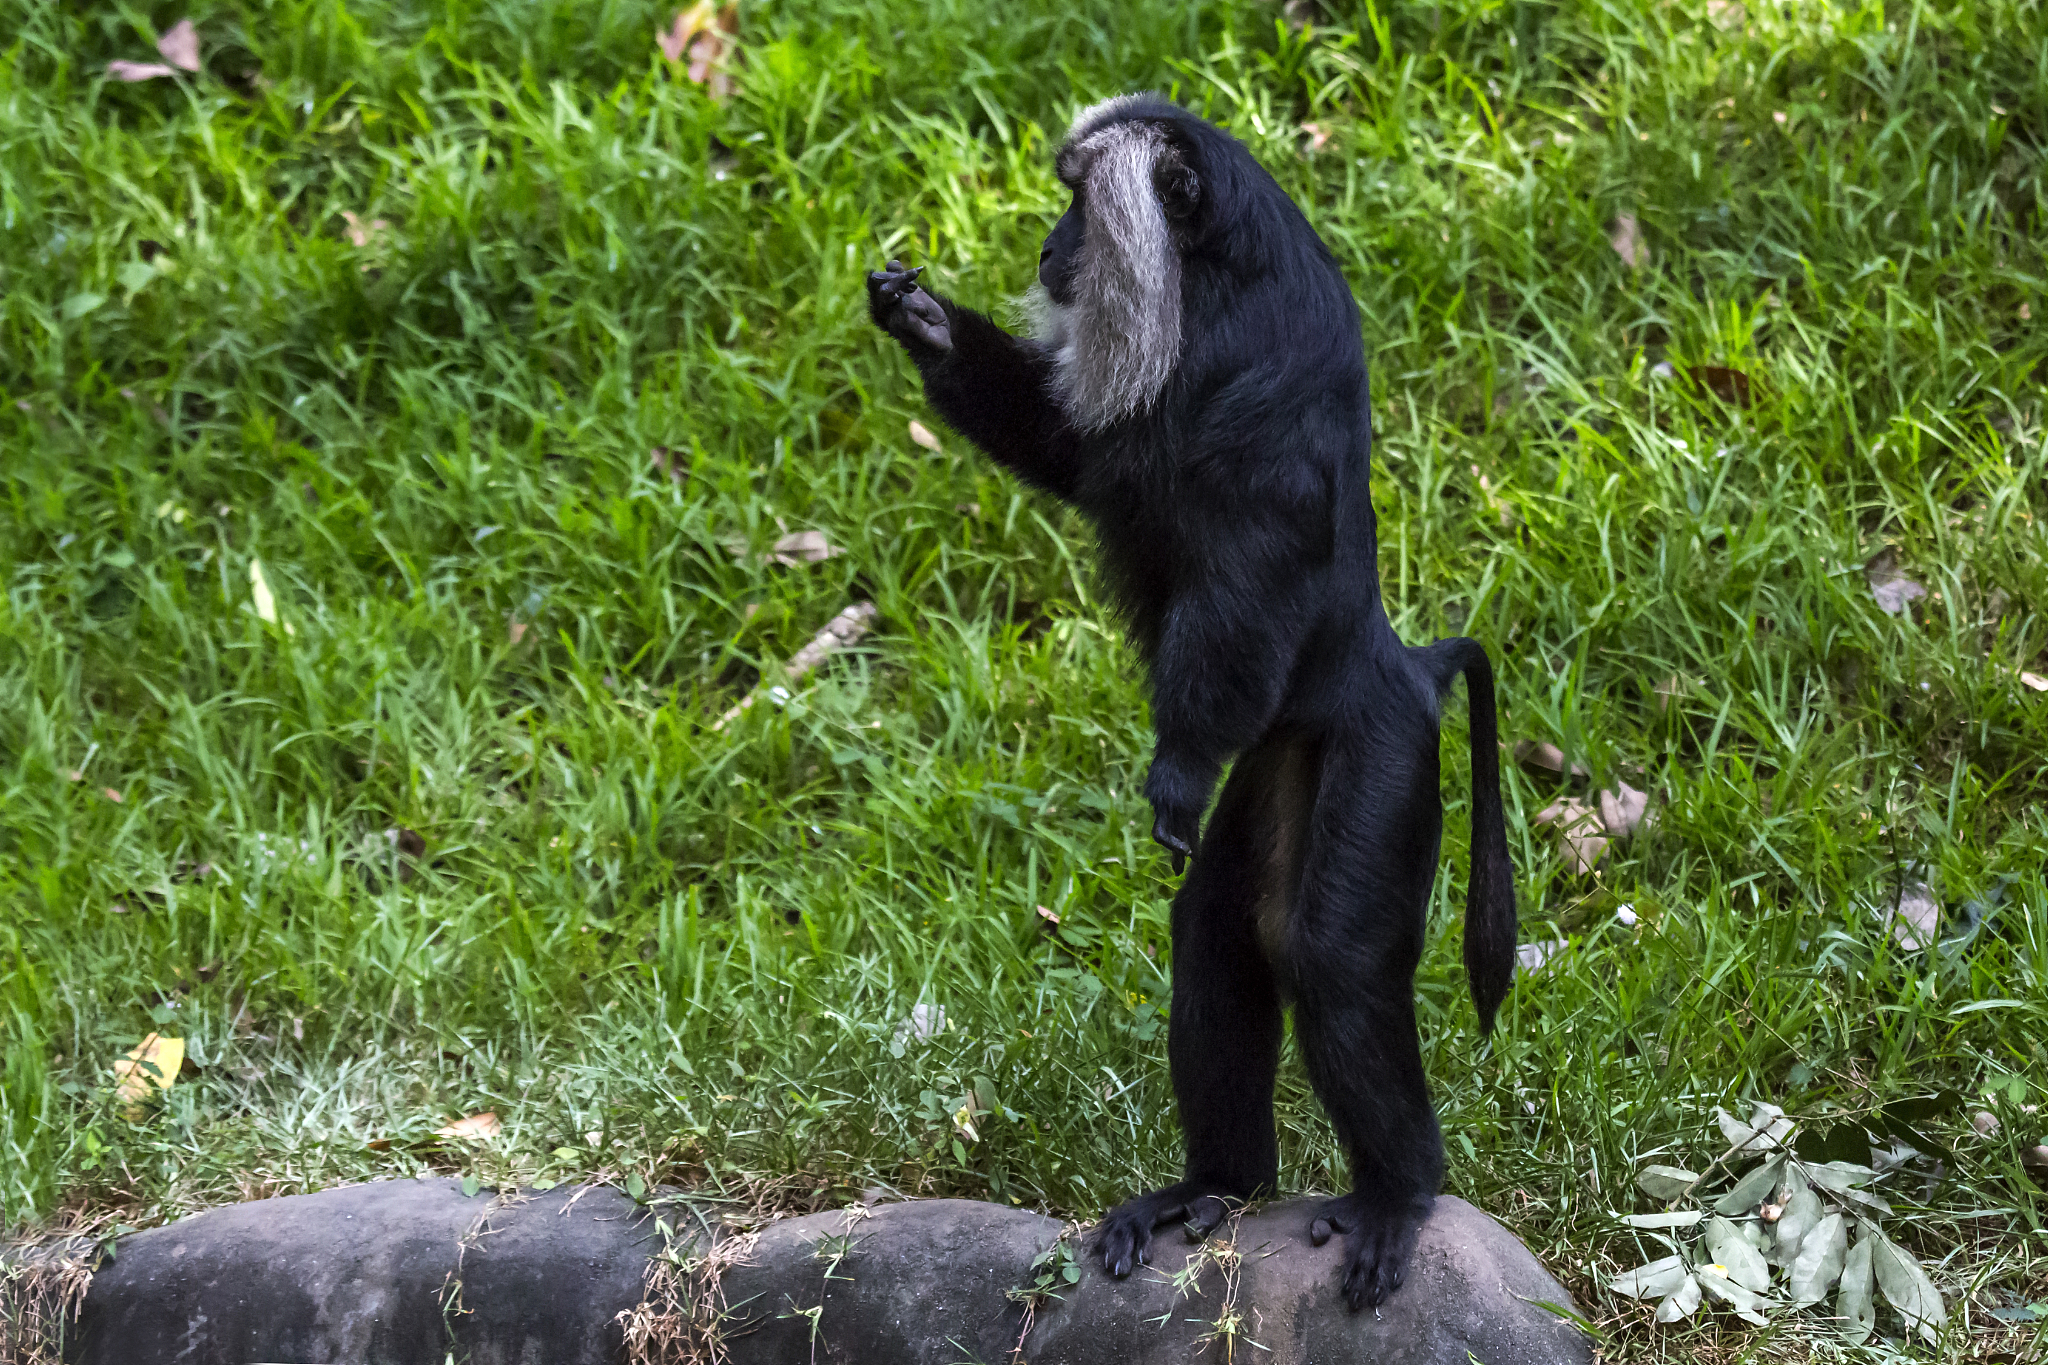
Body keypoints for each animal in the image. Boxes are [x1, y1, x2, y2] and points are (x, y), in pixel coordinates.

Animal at [866, 93, 1517, 1311]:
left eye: (1081, 207)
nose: (1051, 251)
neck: (1216, 270)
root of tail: (1399, 663)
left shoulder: (1252, 377)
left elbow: (1248, 567)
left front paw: (1171, 768)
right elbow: (1071, 451)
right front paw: (921, 320)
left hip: (1381, 750)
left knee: (1333, 959)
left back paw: (1402, 1192)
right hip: (1272, 760)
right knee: (1218, 933)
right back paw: (1216, 1185)